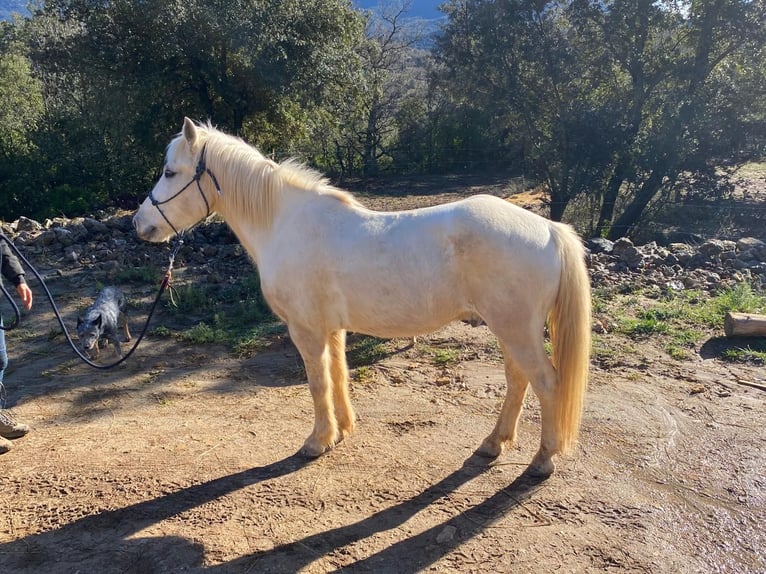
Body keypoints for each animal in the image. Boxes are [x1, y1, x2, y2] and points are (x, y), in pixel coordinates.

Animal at [133, 118, 591, 477]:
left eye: (171, 172)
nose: (140, 224)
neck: (286, 223)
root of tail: (550, 229)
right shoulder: (332, 329)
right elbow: (338, 375)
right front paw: (342, 430)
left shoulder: (306, 330)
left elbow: (317, 381)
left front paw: (317, 441)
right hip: (510, 330)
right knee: (518, 381)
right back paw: (493, 444)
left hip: (516, 331)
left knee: (545, 383)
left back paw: (542, 461)